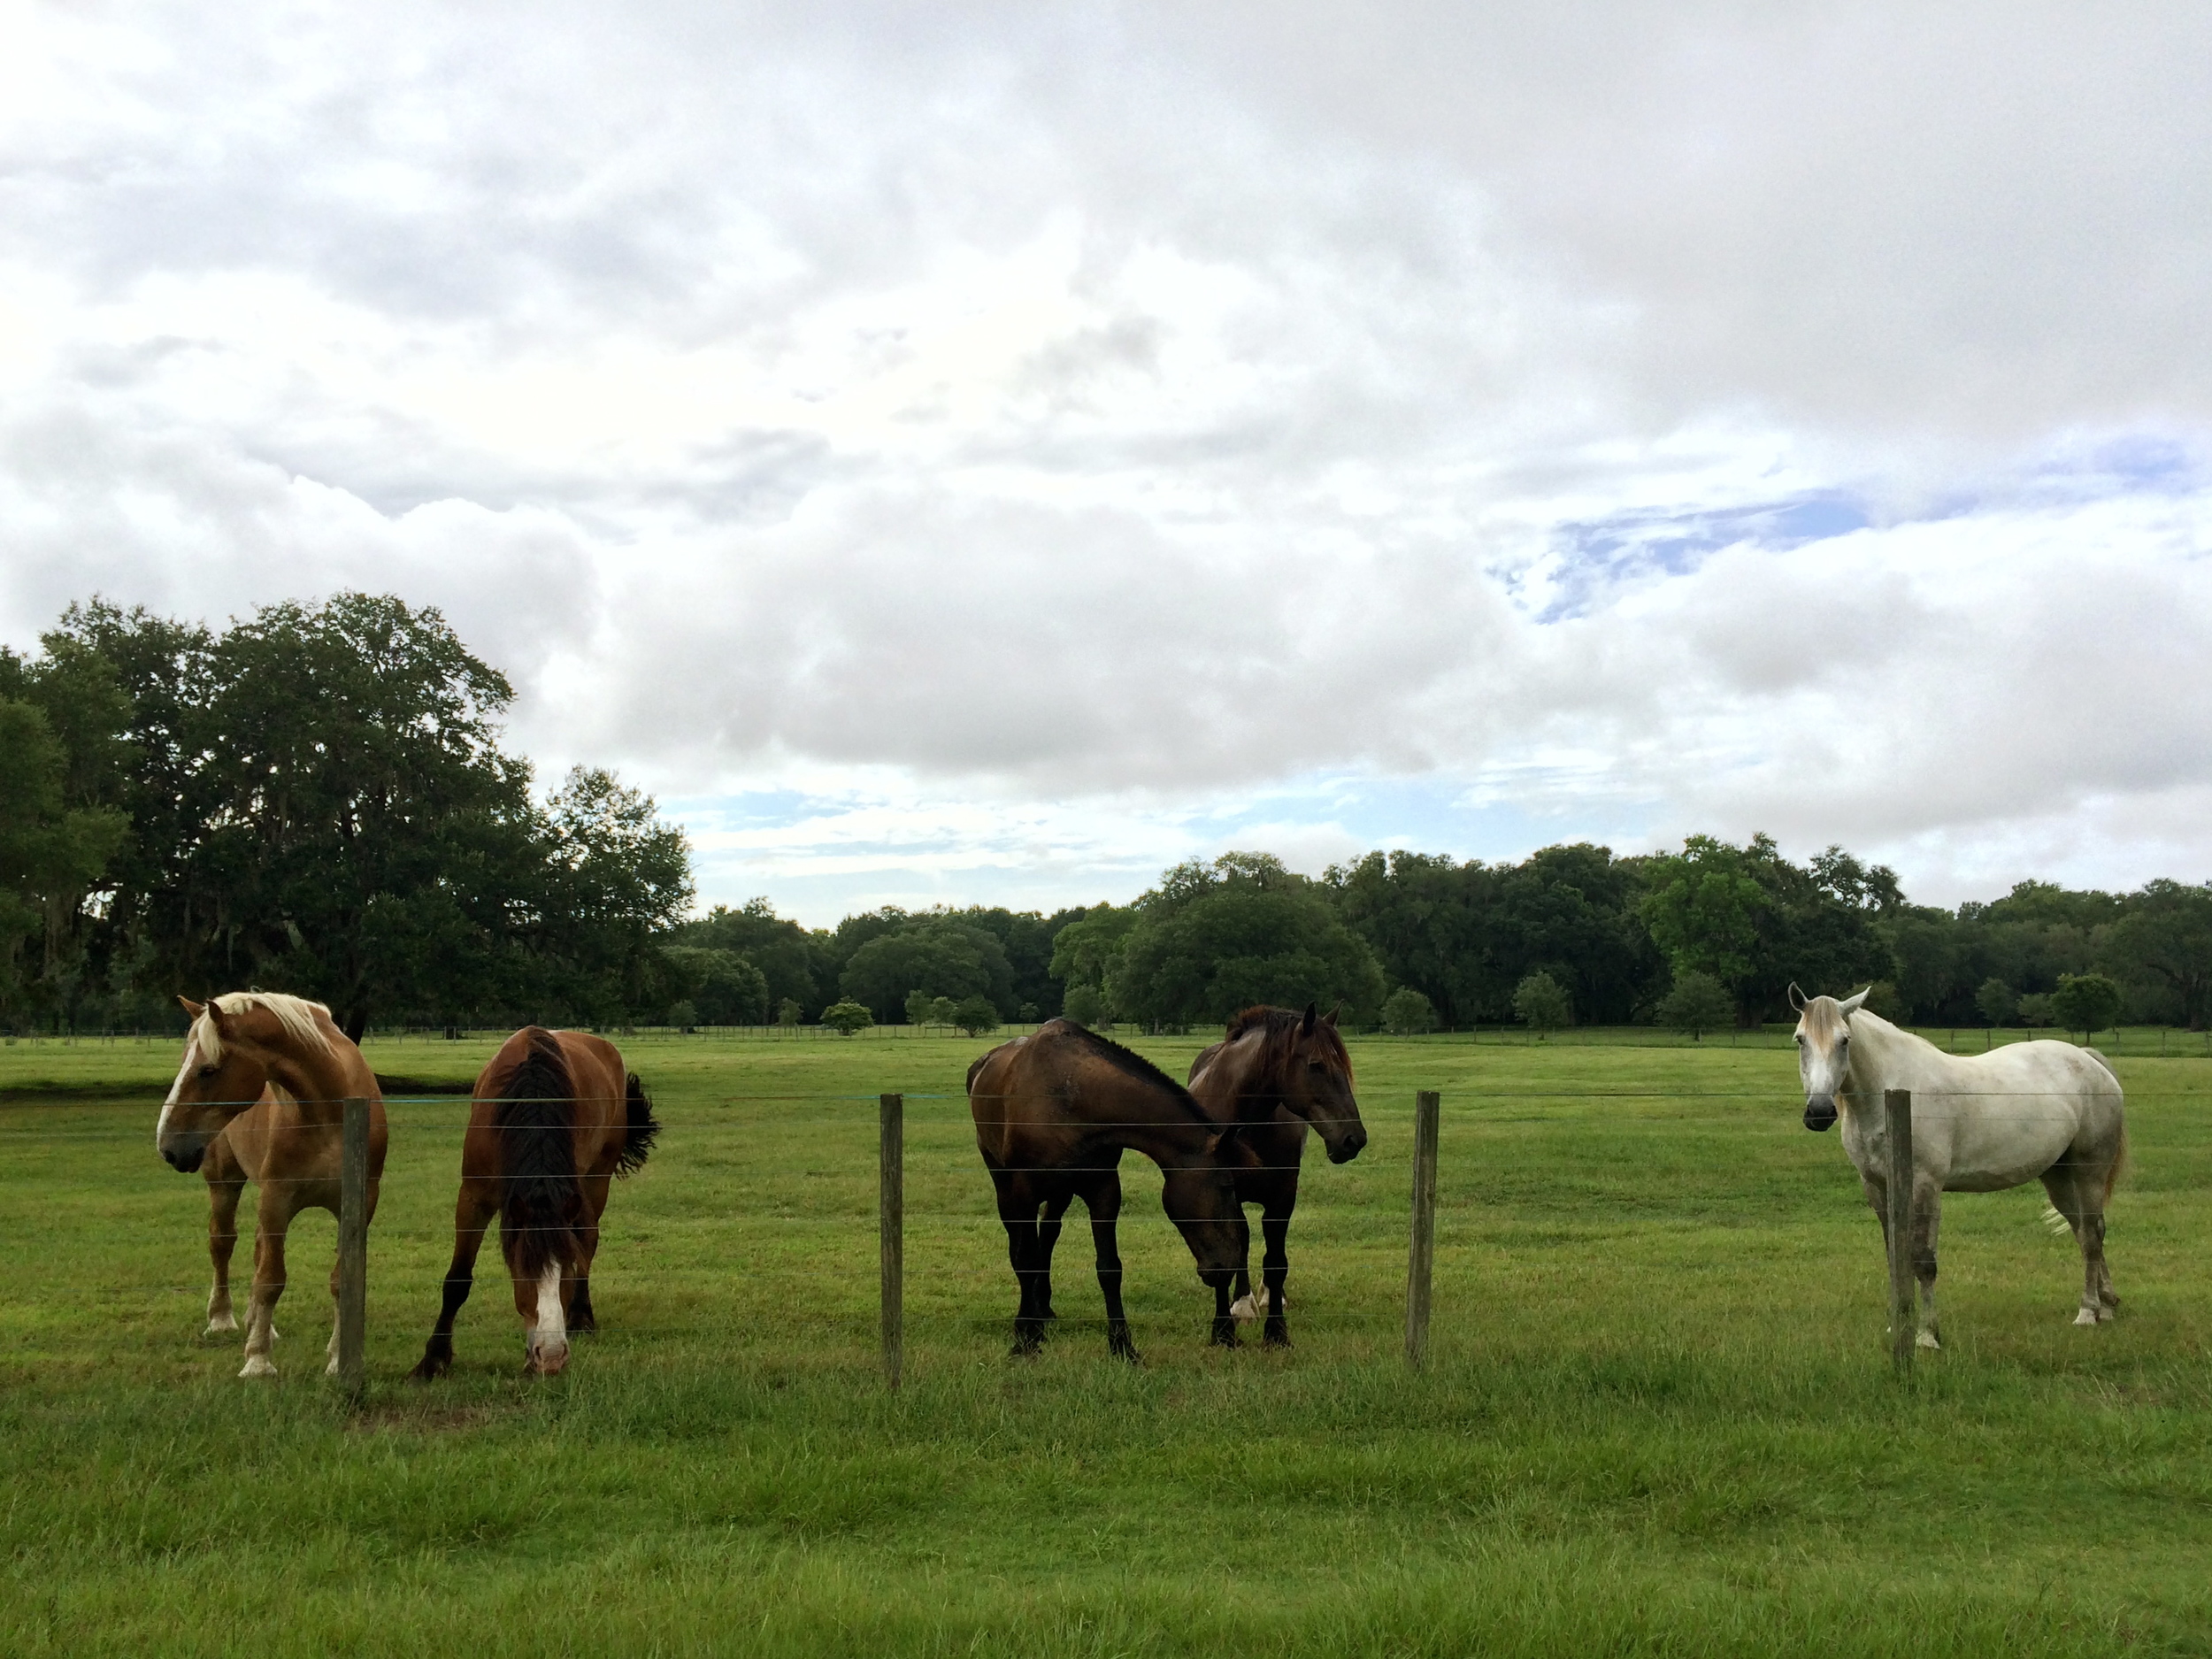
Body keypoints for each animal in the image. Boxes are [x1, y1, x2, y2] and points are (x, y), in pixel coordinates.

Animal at [154, 992, 390, 1380]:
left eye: (207, 1070)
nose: (168, 1146)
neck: (328, 1113)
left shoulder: (358, 1204)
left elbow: (340, 1280)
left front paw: (337, 1359)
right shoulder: (277, 1200)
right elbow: (271, 1279)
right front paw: (258, 1361)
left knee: (256, 1248)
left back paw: (256, 1324)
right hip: (225, 1183)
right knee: (222, 1243)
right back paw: (223, 1319)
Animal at [409, 1027, 659, 1379]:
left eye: (565, 1269)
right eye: (523, 1271)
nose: (552, 1356)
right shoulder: (473, 1198)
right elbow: (457, 1279)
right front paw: (433, 1360)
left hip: (596, 1180)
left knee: (588, 1239)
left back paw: (581, 1316)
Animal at [967, 1018, 1250, 1360]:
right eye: (1227, 1185)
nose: (1227, 1265)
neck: (1071, 1099)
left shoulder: (1103, 1189)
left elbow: (1109, 1268)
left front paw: (1122, 1344)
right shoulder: (1024, 1190)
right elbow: (1026, 1259)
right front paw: (1025, 1338)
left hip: (1060, 1192)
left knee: (1048, 1235)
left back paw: (1043, 1308)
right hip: (1004, 1183)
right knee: (1021, 1245)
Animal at [1186, 1003, 1367, 1347]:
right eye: (1316, 1065)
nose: (1354, 1139)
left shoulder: (1283, 1197)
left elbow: (1276, 1260)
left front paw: (1277, 1332)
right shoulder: (1221, 1197)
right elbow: (1232, 1252)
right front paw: (1226, 1329)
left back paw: (1271, 1295)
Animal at [1791, 985, 2126, 1348]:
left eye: (1845, 1040)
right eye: (1800, 1039)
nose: (1819, 1112)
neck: (1891, 1093)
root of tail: (2089, 1061)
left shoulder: (1926, 1186)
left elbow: (1923, 1260)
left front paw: (1927, 1335)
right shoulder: (1877, 1187)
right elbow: (1895, 1257)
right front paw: (1899, 1327)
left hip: (2089, 1172)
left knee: (2091, 1234)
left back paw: (2088, 1311)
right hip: (2058, 1177)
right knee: (2083, 1231)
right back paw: (2107, 1305)